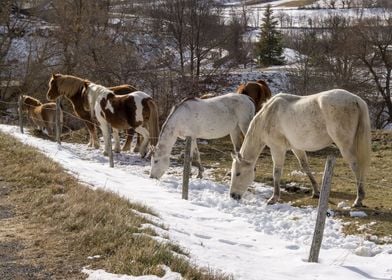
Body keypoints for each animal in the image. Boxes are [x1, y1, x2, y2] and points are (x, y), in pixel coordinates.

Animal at [231, 89, 372, 208]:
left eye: (238, 173)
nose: (232, 196)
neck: (268, 116)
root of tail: (356, 99)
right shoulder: (296, 148)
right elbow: (305, 167)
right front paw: (316, 192)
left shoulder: (277, 149)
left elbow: (276, 172)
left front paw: (274, 198)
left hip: (345, 146)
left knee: (355, 166)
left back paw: (359, 199)